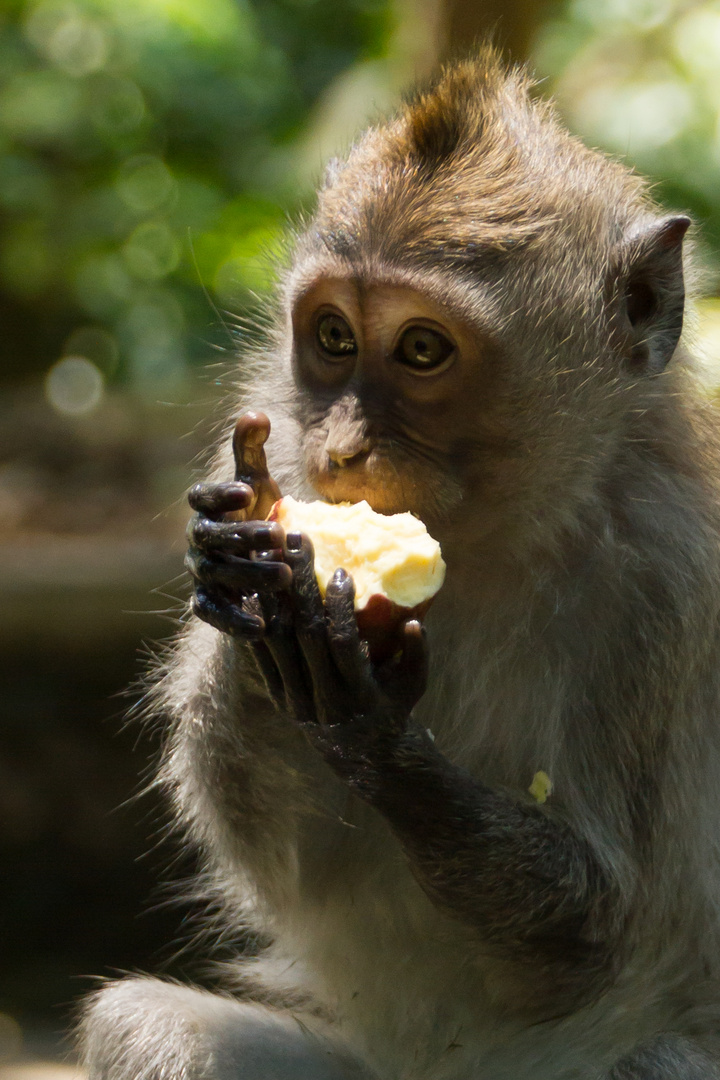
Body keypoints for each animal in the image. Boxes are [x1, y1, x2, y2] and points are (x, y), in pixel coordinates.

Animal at [78, 48, 720, 1080]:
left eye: (422, 348)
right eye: (334, 338)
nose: (341, 449)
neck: (503, 534)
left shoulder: (671, 583)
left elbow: (603, 929)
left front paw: (380, 738)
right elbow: (290, 864)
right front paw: (244, 570)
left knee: (655, 1057)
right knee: (141, 1026)